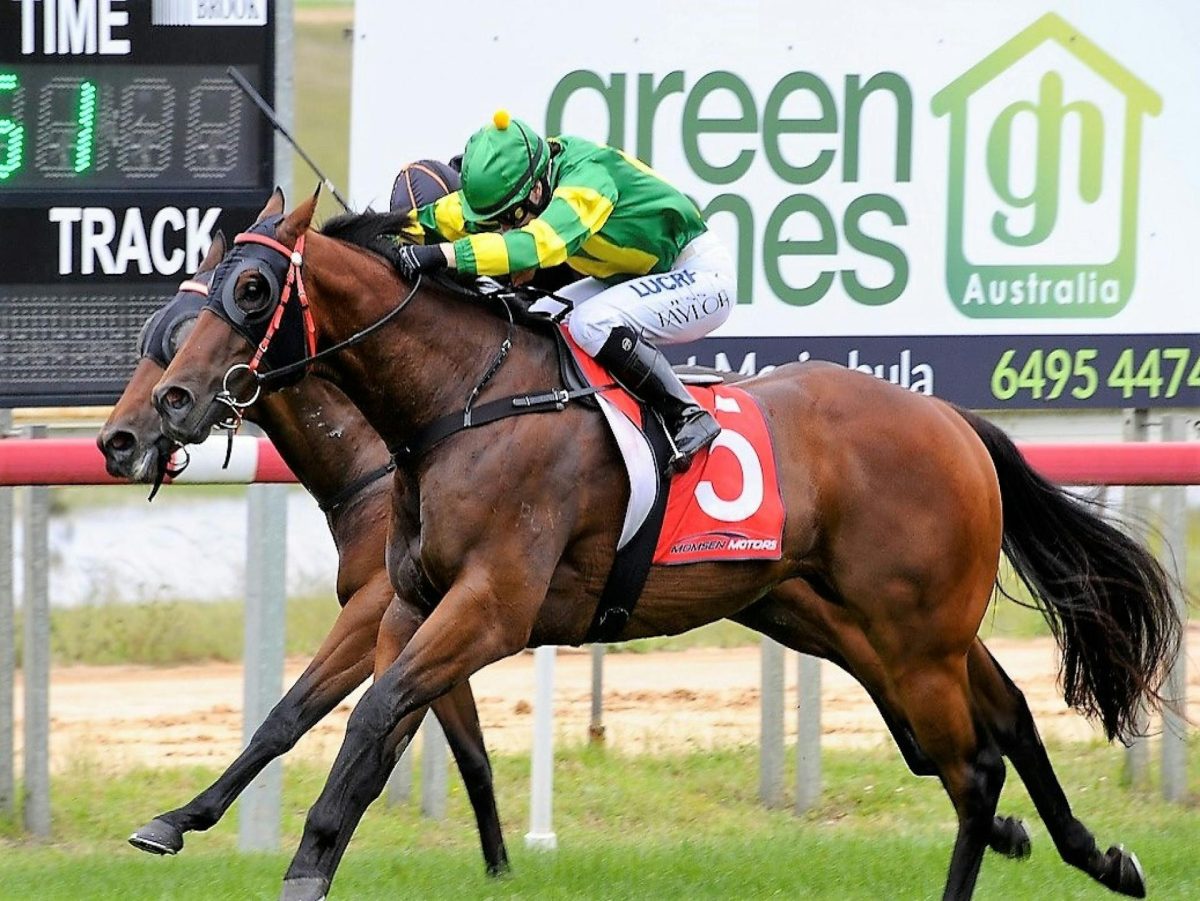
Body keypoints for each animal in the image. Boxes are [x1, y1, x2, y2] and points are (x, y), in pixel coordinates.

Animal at [152, 194, 1180, 897]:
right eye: (187, 296)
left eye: (252, 288)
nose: (169, 404)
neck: (463, 403)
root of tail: (952, 420)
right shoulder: (410, 601)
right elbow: (354, 725)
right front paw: (211, 827)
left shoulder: (491, 607)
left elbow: (371, 718)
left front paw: (299, 866)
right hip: (884, 627)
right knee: (1002, 721)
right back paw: (1099, 854)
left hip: (913, 633)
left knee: (971, 767)